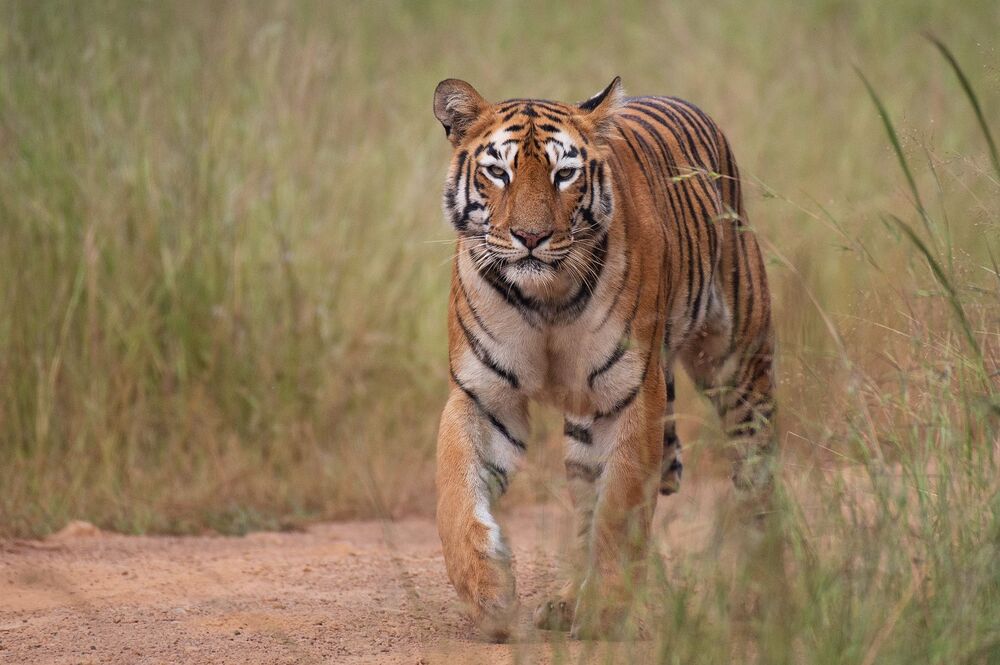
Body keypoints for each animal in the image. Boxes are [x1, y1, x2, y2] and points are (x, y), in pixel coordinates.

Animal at [432, 76, 776, 640]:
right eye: (498, 172)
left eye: (564, 174)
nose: (531, 237)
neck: (545, 297)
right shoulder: (483, 395)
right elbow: (457, 494)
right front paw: (488, 593)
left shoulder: (632, 393)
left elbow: (619, 510)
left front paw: (604, 609)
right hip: (585, 422)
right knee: (583, 502)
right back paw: (566, 599)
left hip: (740, 362)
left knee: (757, 478)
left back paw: (766, 593)